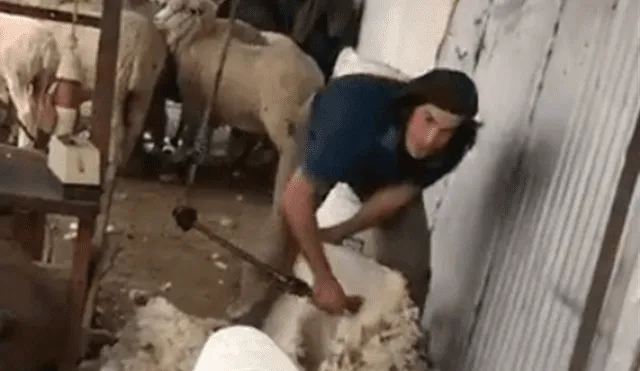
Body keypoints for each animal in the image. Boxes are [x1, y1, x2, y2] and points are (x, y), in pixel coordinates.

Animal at [149, 0, 324, 155]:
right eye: (165, 4)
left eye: (186, 9)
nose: (156, 19)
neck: (200, 36)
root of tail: (317, 78)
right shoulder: (213, 104)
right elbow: (206, 131)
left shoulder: (194, 98)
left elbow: (189, 130)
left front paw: (183, 151)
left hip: (283, 122)